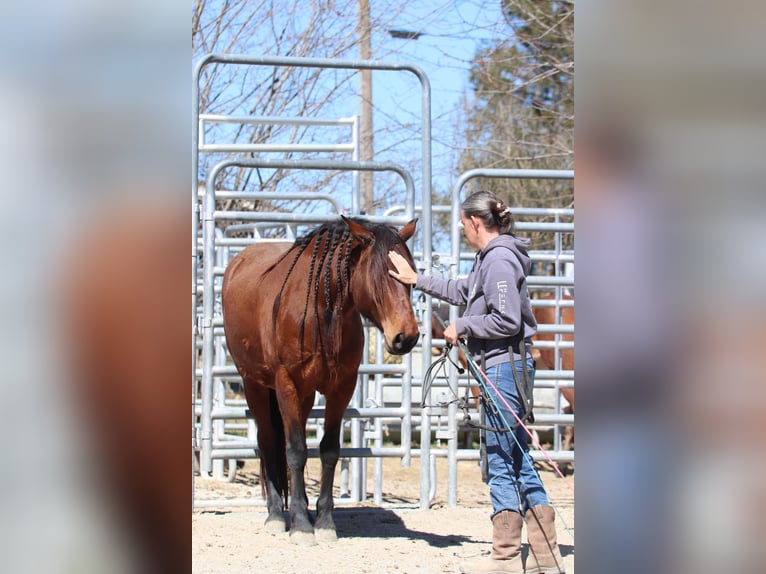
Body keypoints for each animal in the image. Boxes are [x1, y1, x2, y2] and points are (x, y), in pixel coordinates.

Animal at [222, 216, 420, 544]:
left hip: (303, 397)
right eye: (381, 275)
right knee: (268, 441)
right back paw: (276, 515)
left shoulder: (341, 389)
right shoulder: (287, 385)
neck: (323, 312)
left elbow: (328, 451)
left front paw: (324, 521)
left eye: (412, 279)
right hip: (255, 385)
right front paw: (301, 524)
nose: (407, 337)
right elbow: (296, 451)